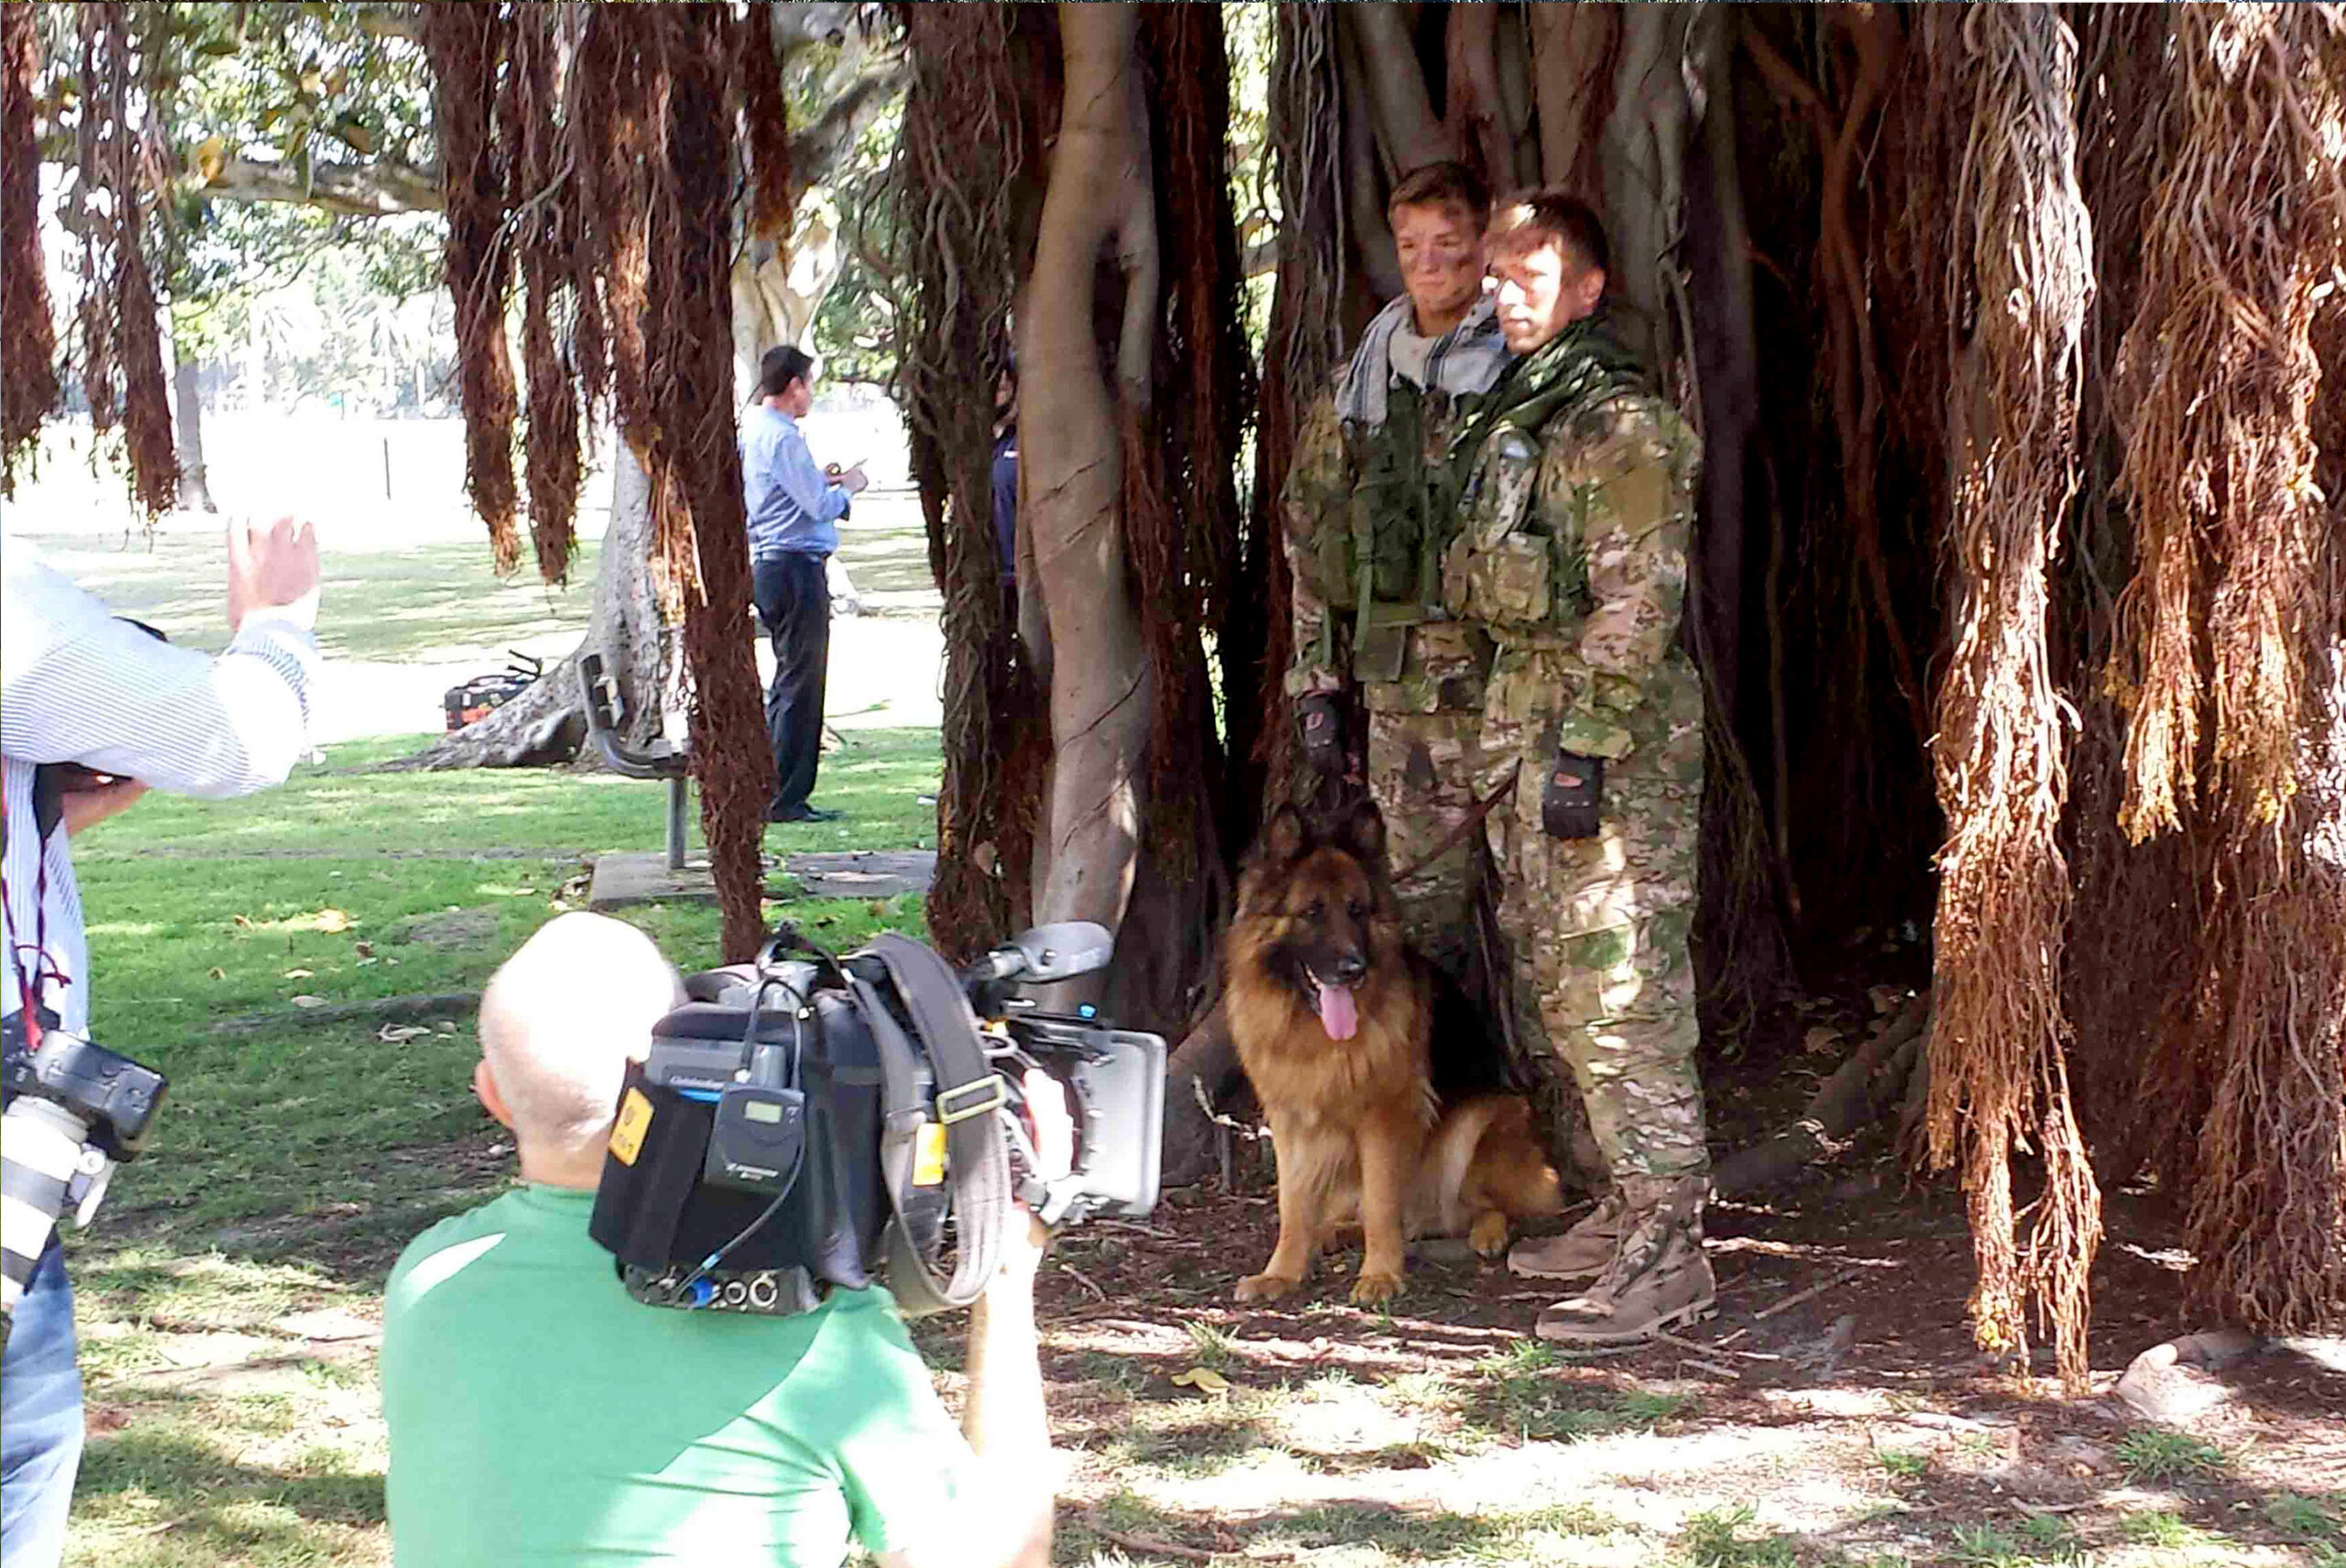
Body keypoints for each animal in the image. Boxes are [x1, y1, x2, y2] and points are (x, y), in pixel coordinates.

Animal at [1224, 800, 1563, 1306]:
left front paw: (1381, 1275)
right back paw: (1335, 1230)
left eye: (1357, 910)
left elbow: (1383, 1202)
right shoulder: (1290, 1122)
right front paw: (1281, 1273)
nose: (1353, 968)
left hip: (1480, 1121)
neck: (1312, 1035)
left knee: (1480, 1206)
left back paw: (1485, 1231)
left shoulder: (1384, 1119)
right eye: (1312, 912)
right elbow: (1293, 1205)